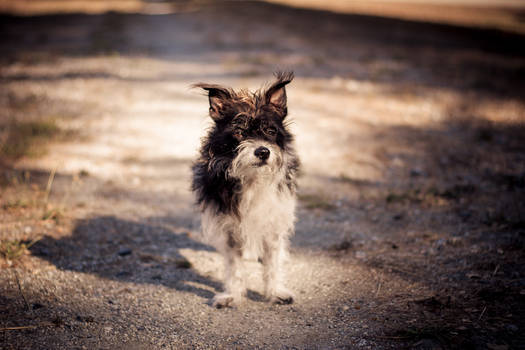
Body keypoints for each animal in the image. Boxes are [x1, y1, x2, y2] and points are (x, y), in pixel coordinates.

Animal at [191, 72, 298, 308]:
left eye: (270, 131)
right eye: (240, 132)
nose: (263, 151)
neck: (252, 178)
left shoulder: (274, 223)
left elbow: (273, 262)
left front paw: (275, 291)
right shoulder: (229, 227)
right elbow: (234, 266)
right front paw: (233, 295)